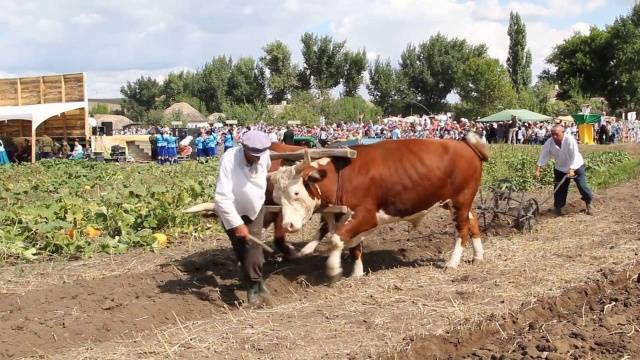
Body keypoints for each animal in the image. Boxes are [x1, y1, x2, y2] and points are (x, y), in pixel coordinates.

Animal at [270, 134, 490, 278]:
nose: (288, 225)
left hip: (461, 200)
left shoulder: (367, 217)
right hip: (453, 202)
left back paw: (453, 262)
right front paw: (357, 274)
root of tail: (464, 145)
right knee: (473, 220)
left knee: (462, 230)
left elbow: (336, 239)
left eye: (296, 193)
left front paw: (333, 269)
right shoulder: (345, 216)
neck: (343, 175)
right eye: (277, 198)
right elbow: (353, 246)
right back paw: (478, 255)